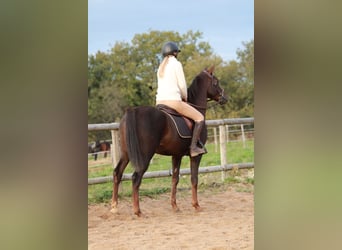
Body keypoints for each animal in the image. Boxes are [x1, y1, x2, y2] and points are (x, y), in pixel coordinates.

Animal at [111, 67, 227, 217]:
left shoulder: (176, 155)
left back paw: (114, 207)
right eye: (216, 82)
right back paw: (137, 211)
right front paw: (196, 205)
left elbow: (175, 179)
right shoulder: (196, 157)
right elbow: (194, 179)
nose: (225, 98)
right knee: (136, 178)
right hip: (144, 156)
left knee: (117, 173)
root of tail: (133, 111)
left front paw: (174, 206)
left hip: (126, 154)